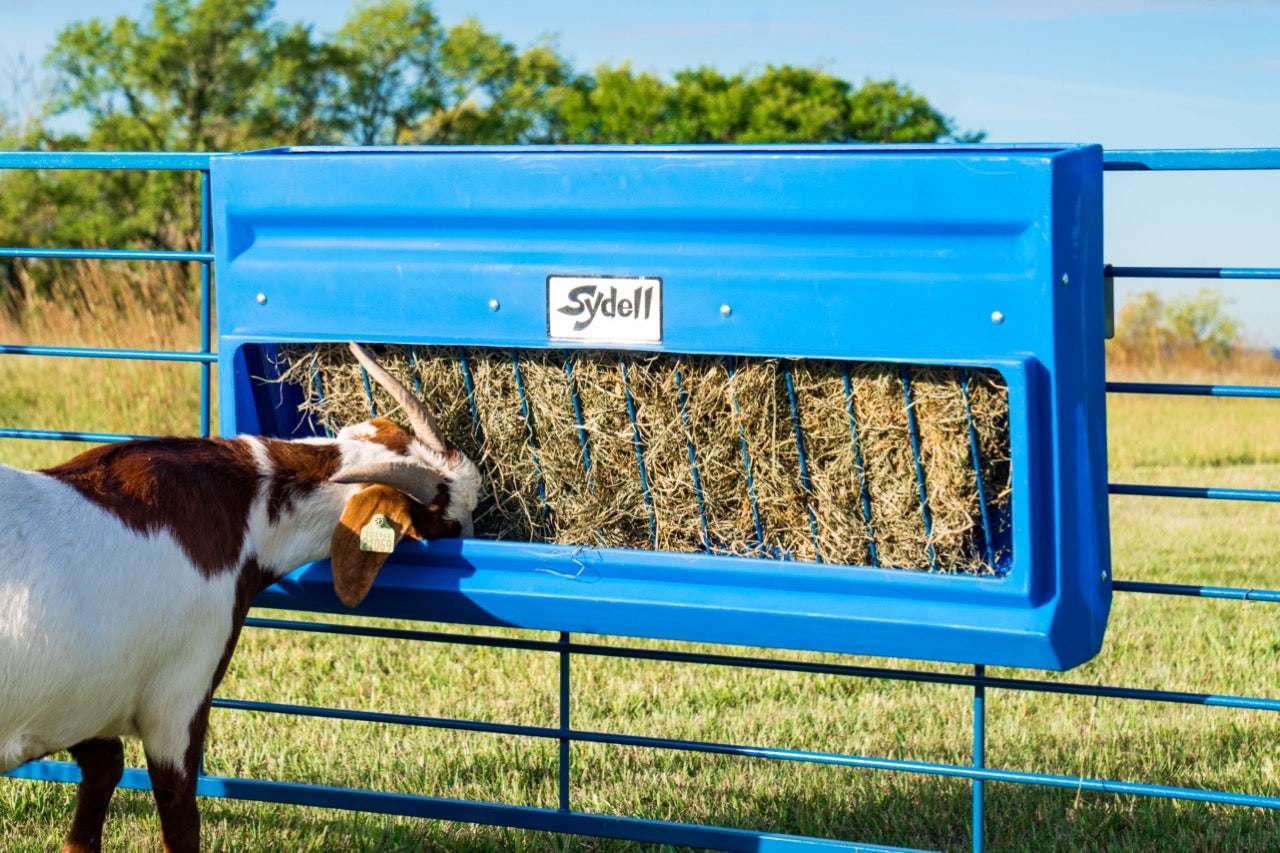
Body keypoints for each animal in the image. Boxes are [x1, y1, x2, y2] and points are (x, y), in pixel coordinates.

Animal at [0, 342, 480, 853]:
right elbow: (178, 817)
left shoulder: (78, 702)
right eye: (447, 518)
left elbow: (101, 775)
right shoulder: (177, 699)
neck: (241, 509)